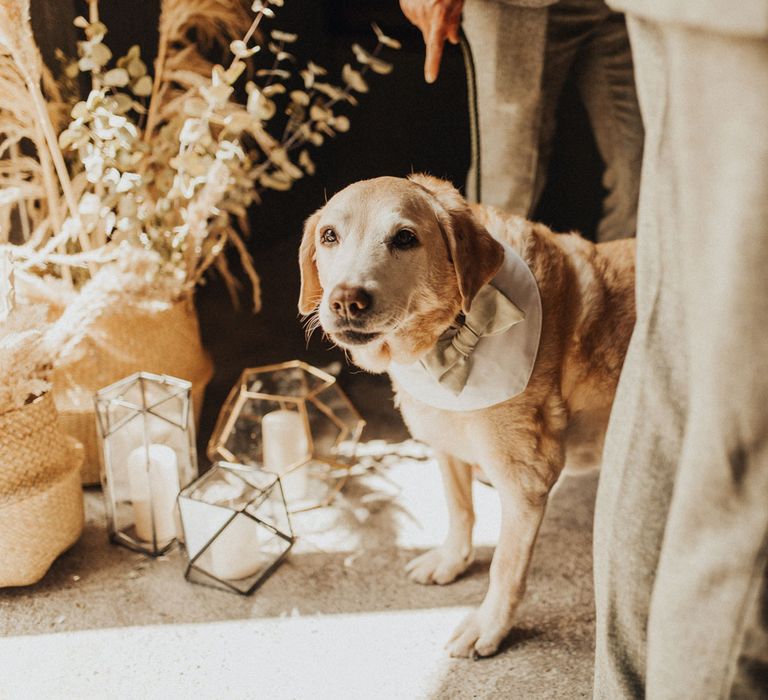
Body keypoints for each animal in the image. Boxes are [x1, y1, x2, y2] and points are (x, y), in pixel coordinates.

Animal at [296, 174, 632, 656]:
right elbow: (459, 510)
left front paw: (489, 626)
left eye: (404, 238)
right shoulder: (447, 444)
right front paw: (451, 561)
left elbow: (505, 567)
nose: (346, 300)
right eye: (329, 236)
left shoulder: (526, 481)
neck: (446, 342)